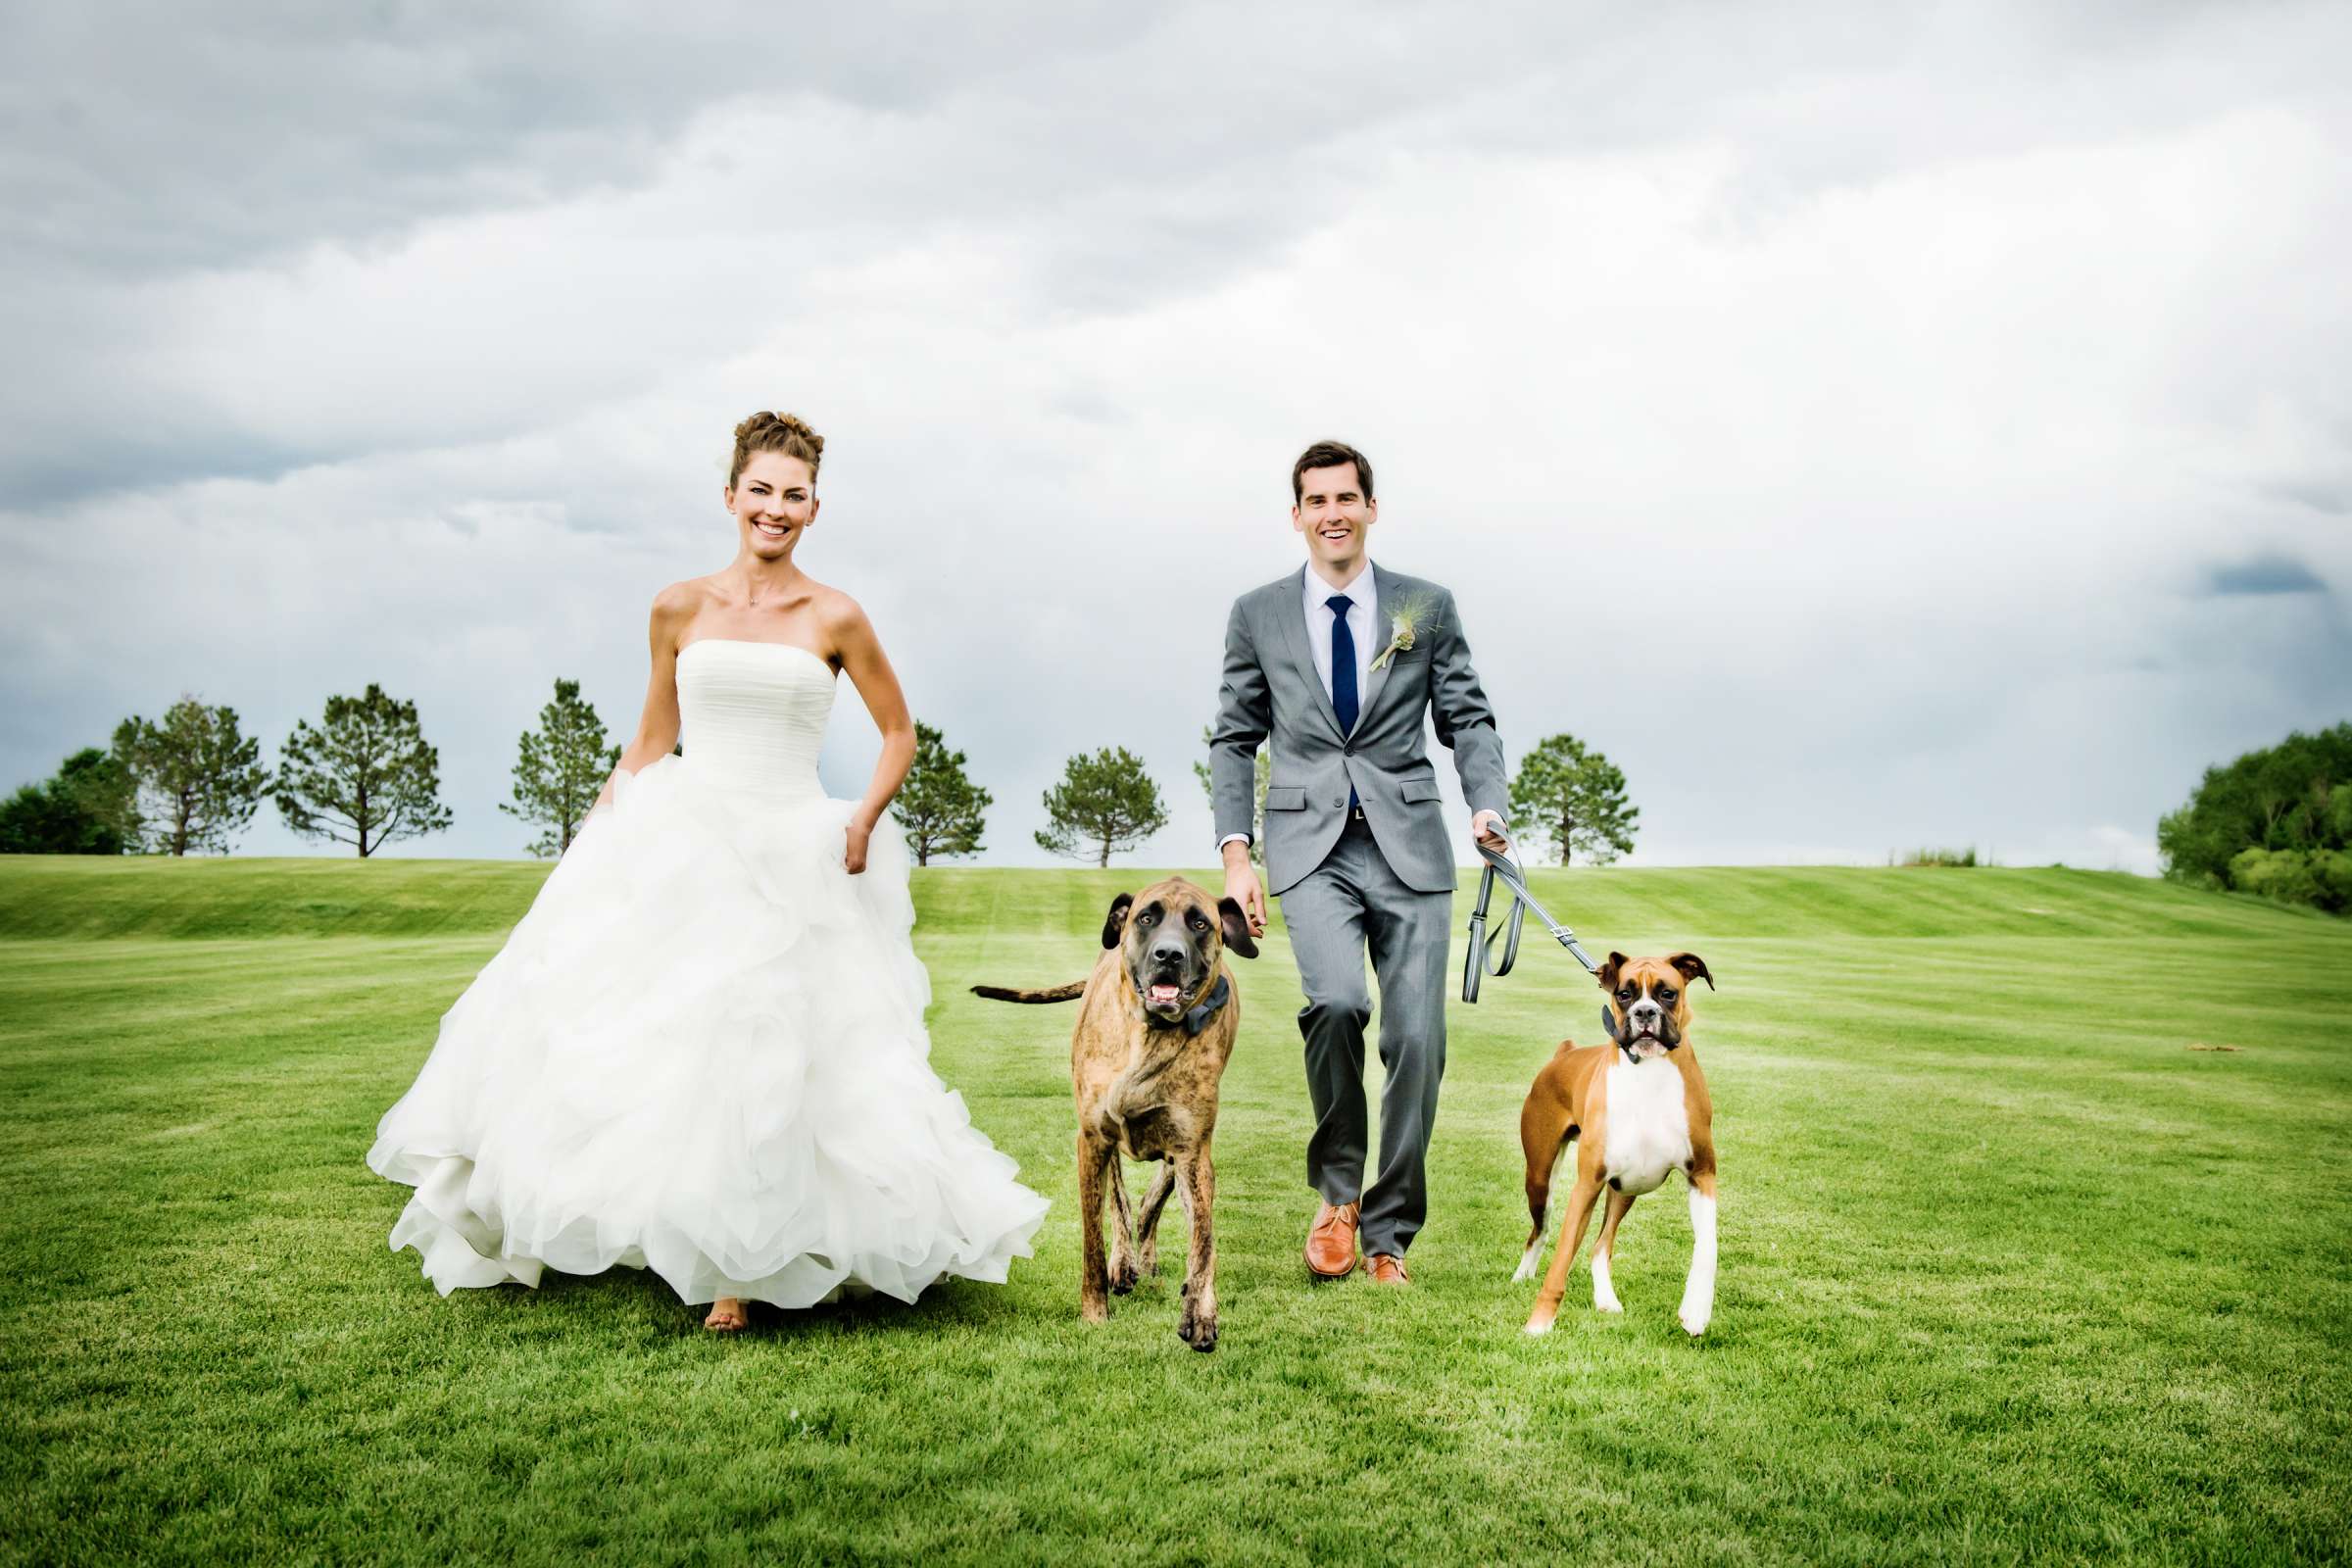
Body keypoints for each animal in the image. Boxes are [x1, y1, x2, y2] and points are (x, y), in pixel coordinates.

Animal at [973, 879, 1260, 1353]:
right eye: (1147, 918)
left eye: (1200, 923)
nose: (1169, 955)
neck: (1152, 1036)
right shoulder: (1092, 1138)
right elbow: (1094, 1234)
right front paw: (1095, 1313)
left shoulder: (1193, 1150)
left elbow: (1203, 1237)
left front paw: (1200, 1311)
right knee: (1121, 1197)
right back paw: (1125, 1259)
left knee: (1156, 1198)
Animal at [1514, 950, 1721, 1335]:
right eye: (1625, 994)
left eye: (1667, 993)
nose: (1644, 1012)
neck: (1649, 1073)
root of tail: (1565, 1053)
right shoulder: (1587, 1184)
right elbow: (1561, 1258)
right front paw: (1538, 1324)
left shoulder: (1702, 1175)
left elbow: (1707, 1245)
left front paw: (1696, 1309)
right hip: (1539, 1177)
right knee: (1542, 1230)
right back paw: (1523, 1273)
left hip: (1626, 1188)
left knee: (1600, 1244)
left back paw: (1606, 1300)